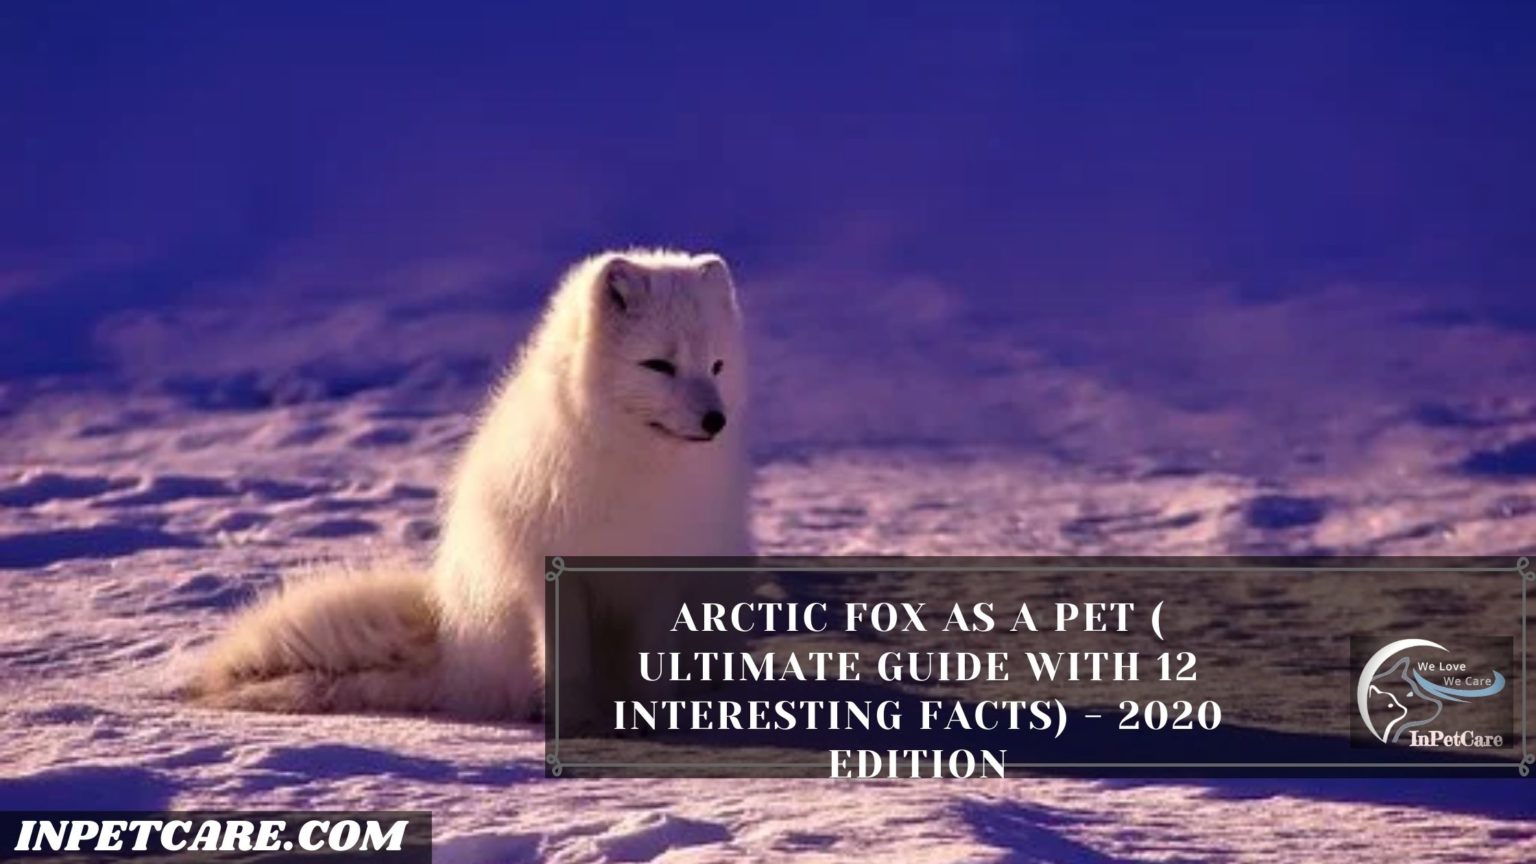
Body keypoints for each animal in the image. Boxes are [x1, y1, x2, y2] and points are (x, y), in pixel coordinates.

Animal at [191, 248, 752, 719]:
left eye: (717, 366)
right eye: (658, 365)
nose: (717, 420)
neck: (636, 469)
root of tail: (452, 648)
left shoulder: (666, 577)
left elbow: (651, 667)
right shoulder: (551, 576)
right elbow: (567, 666)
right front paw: (577, 725)